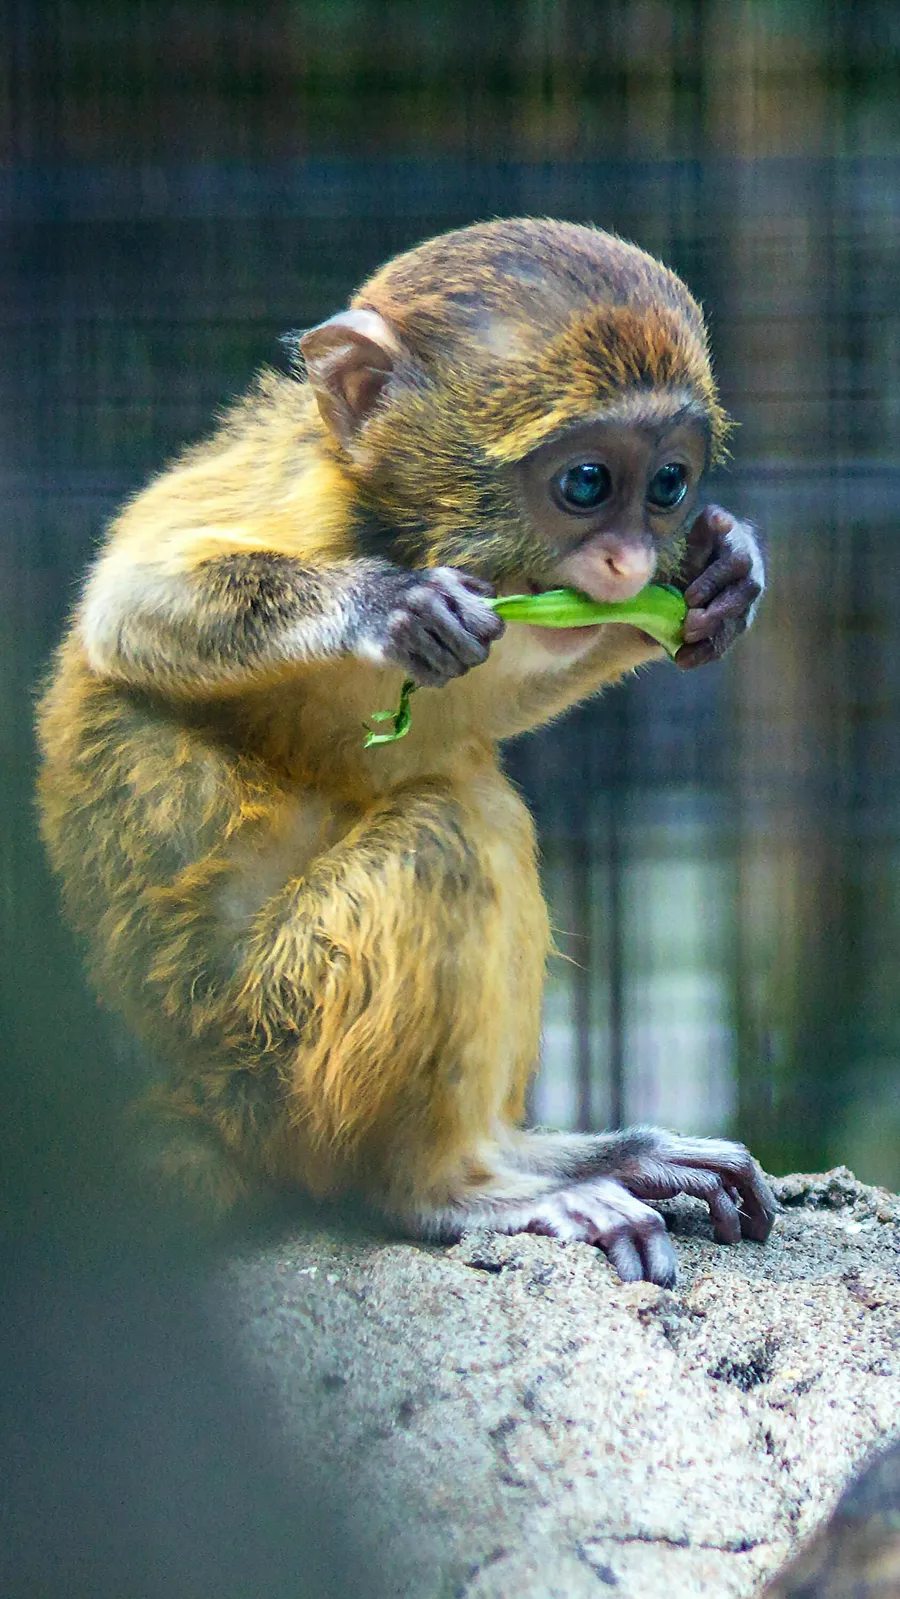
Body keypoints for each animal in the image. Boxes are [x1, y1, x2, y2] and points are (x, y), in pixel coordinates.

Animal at [37, 218, 775, 1287]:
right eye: (587, 483)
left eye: (668, 485)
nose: (633, 564)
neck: (404, 526)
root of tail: (200, 1104)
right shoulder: (303, 498)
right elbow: (127, 609)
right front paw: (387, 608)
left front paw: (723, 573)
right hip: (275, 1053)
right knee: (449, 833)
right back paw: (445, 1185)